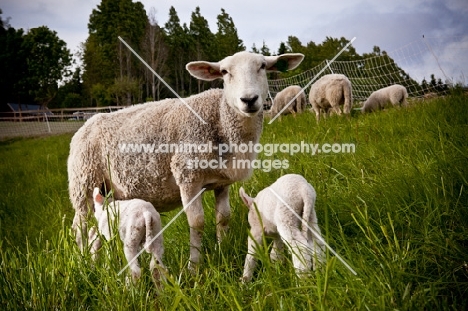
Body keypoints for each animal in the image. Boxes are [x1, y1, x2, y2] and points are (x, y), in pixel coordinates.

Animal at [67, 50, 306, 270]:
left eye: (263, 66)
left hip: (106, 192)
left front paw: (222, 250)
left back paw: (95, 265)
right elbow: (197, 223)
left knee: (95, 230)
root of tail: (85, 125)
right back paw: (81, 264)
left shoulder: (222, 183)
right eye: (224, 72)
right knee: (79, 228)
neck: (220, 120)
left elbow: (223, 218)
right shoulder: (187, 176)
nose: (248, 100)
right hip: (83, 184)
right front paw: (194, 266)